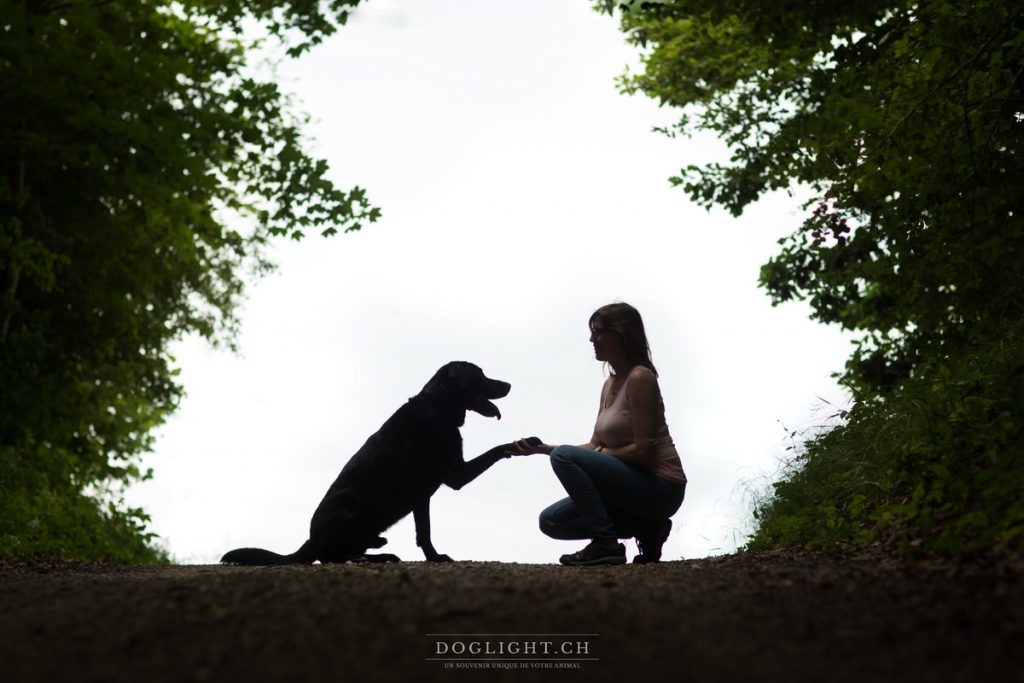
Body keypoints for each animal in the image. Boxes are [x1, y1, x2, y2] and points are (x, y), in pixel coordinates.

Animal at [219, 360, 524, 565]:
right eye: (480, 375)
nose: (509, 385)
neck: (435, 409)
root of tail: (310, 541)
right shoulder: (435, 488)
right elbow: (424, 533)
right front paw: (435, 557)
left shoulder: (454, 475)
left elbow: (498, 449)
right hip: (351, 505)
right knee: (333, 556)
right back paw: (372, 554)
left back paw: (379, 550)